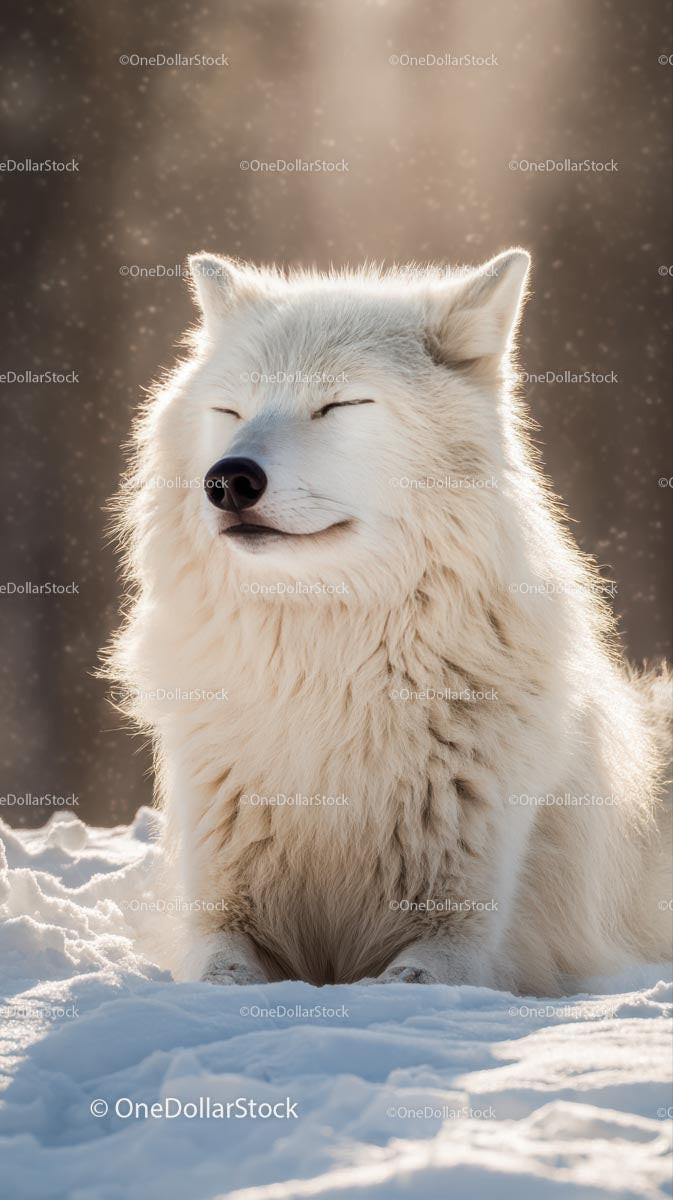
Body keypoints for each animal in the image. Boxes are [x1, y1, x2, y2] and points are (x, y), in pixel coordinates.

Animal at [106, 249, 672, 995]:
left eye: (338, 404)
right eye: (231, 410)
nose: (228, 480)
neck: (324, 673)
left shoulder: (465, 936)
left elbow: (410, 980)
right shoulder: (221, 909)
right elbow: (219, 972)